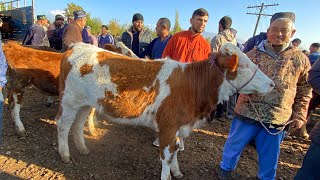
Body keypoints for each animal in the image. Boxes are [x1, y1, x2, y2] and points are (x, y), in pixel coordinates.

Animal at [56, 42, 274, 180]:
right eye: (244, 65)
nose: (272, 84)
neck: (192, 86)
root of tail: (76, 46)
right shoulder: (168, 126)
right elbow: (167, 155)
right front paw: (167, 175)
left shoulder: (179, 126)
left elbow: (176, 150)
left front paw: (176, 172)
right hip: (69, 101)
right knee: (63, 125)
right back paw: (65, 155)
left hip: (86, 103)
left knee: (78, 123)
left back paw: (82, 148)